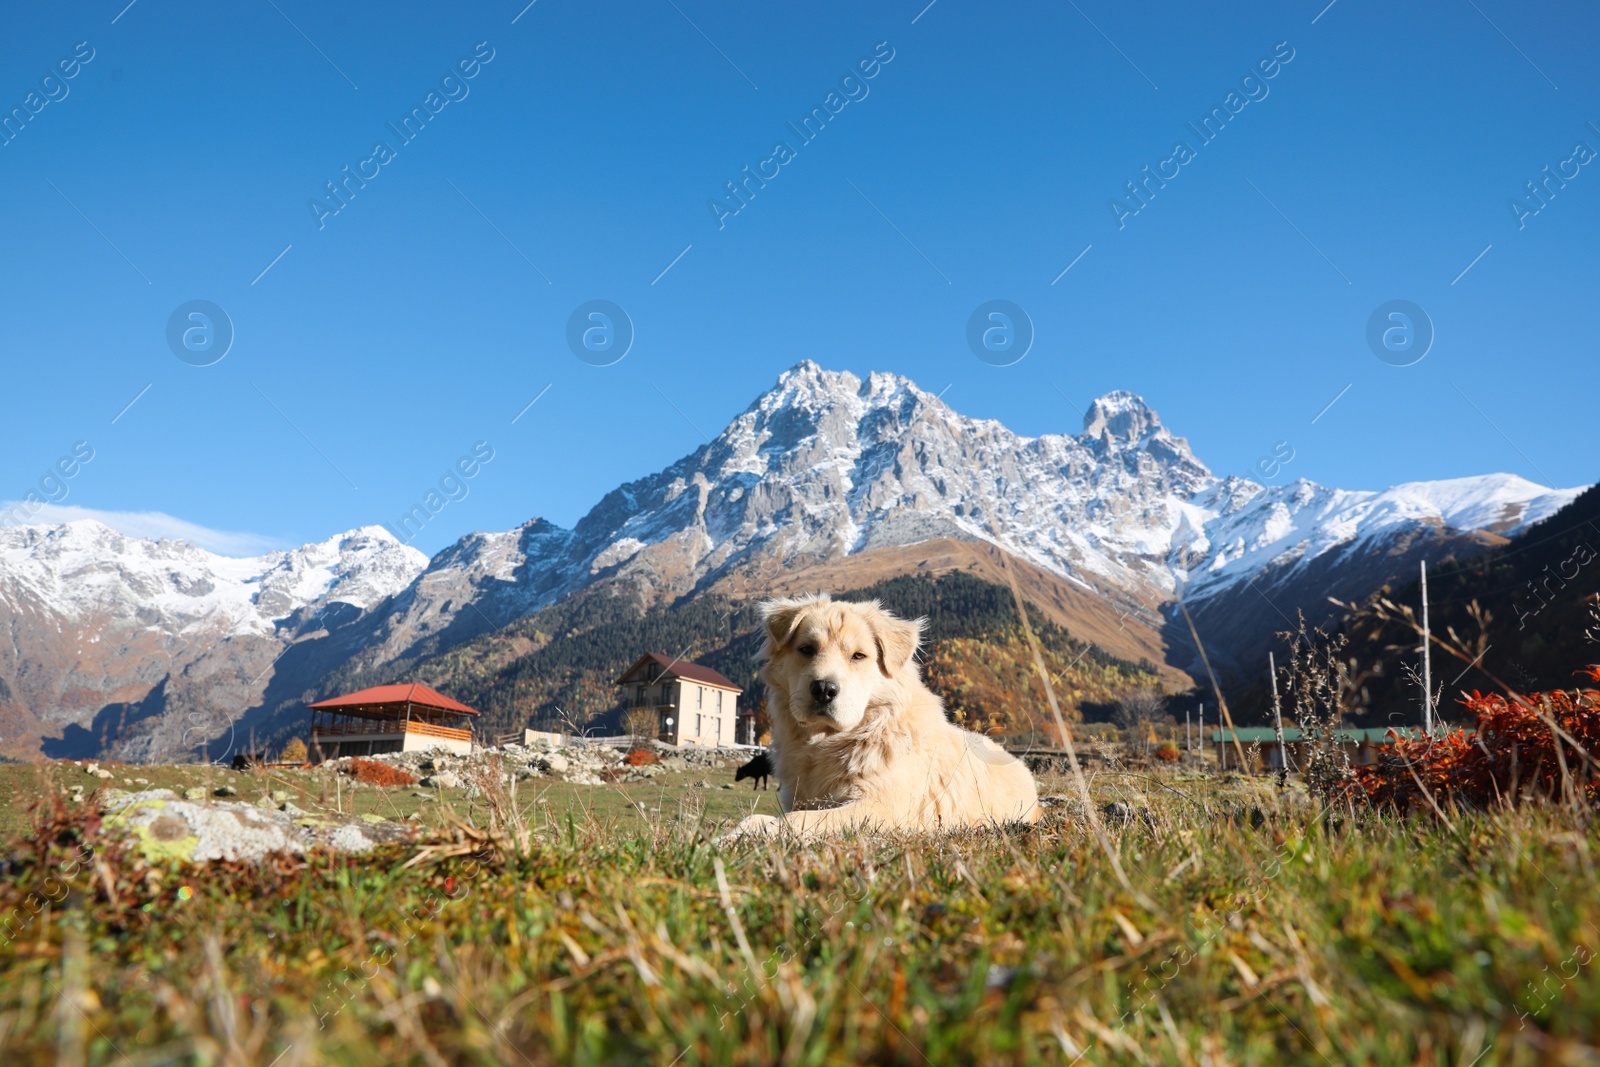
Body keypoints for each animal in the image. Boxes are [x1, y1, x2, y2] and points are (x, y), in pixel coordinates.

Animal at [732, 598, 1043, 838]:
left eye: (858, 656)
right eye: (807, 649)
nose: (823, 689)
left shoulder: (881, 808)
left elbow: (798, 819)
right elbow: (762, 817)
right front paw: (738, 832)